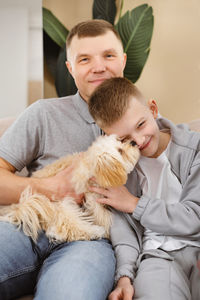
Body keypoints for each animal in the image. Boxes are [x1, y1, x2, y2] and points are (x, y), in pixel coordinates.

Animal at [0, 136, 140, 244]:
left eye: (120, 140)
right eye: (120, 151)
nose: (133, 142)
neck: (92, 165)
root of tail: (20, 205)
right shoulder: (91, 196)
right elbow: (102, 215)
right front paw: (106, 226)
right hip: (62, 204)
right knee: (70, 227)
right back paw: (95, 231)